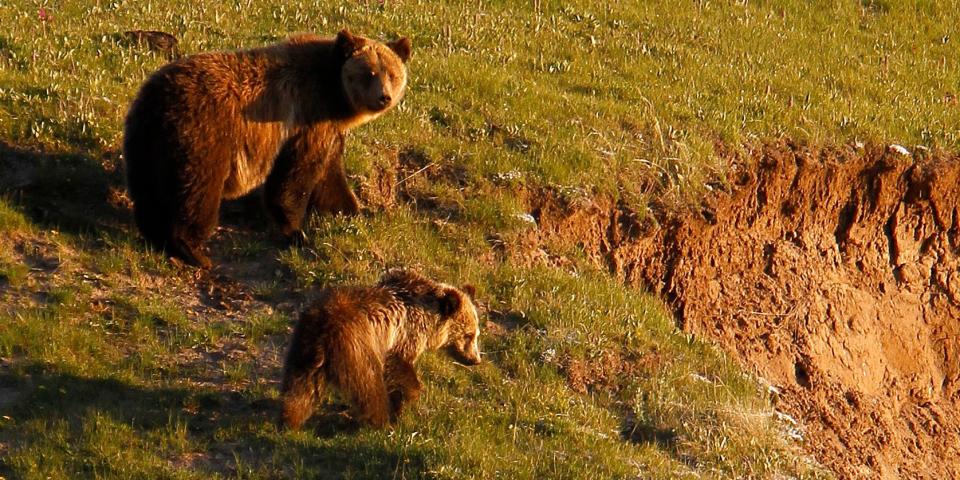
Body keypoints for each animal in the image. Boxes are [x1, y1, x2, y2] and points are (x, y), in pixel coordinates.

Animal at [123, 29, 408, 268]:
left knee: (147, 190)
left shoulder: (328, 129)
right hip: (204, 134)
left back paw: (156, 236)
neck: (334, 95)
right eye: (369, 73)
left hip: (144, 138)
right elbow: (294, 177)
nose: (384, 97)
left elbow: (329, 177)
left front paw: (354, 211)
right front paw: (296, 231)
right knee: (198, 191)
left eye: (392, 75)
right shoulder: (305, 117)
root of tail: (159, 99)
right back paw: (194, 251)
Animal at [282, 268, 484, 430]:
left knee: (300, 387)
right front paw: (406, 399)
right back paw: (379, 420)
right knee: (369, 386)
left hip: (303, 346)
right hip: (357, 348)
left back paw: (290, 419)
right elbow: (398, 367)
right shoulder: (404, 335)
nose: (475, 360)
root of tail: (325, 329)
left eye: (476, 334)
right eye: (468, 335)